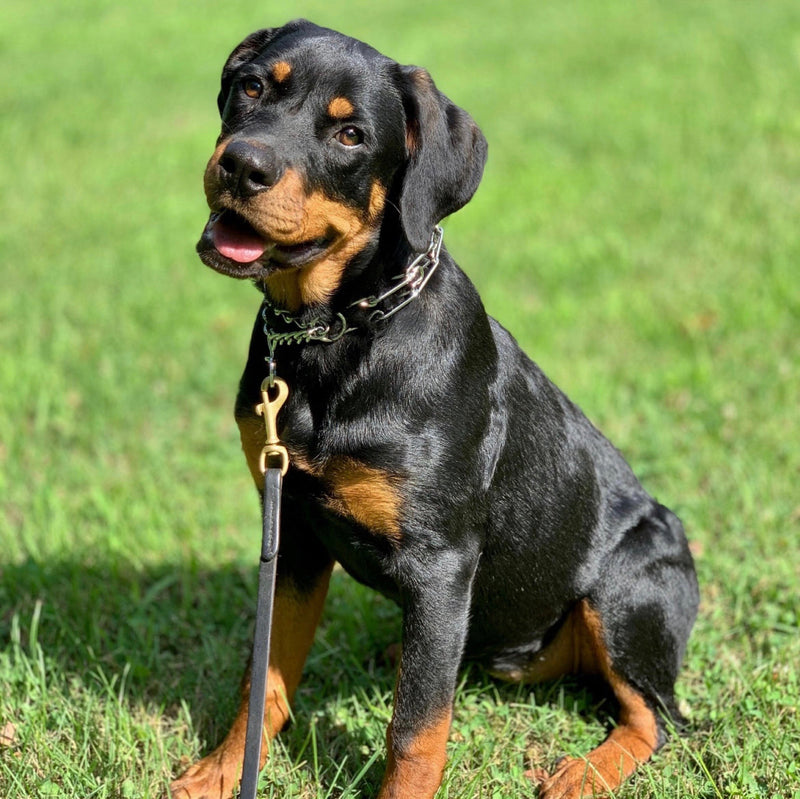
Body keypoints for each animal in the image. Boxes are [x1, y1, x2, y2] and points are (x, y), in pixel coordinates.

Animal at [170, 20, 700, 799]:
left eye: (351, 134)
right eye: (252, 87)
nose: (241, 165)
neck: (337, 334)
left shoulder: (441, 561)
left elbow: (416, 729)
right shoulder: (293, 528)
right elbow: (264, 674)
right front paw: (218, 773)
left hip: (629, 589)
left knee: (653, 715)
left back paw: (585, 772)